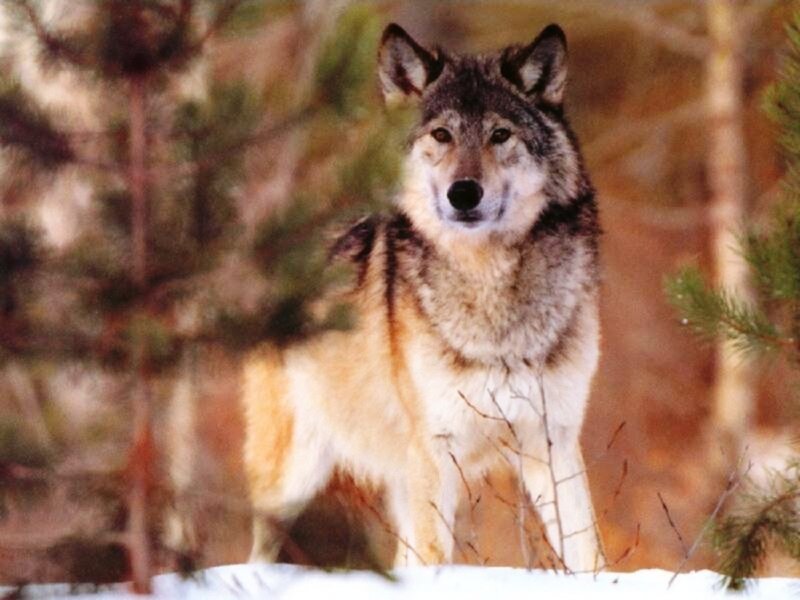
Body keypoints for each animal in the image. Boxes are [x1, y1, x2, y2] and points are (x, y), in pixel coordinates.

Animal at [243, 22, 603, 571]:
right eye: (441, 135)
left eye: (500, 135)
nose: (464, 193)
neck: (489, 288)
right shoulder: (437, 447)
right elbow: (438, 556)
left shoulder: (554, 438)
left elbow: (590, 553)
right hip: (292, 477)